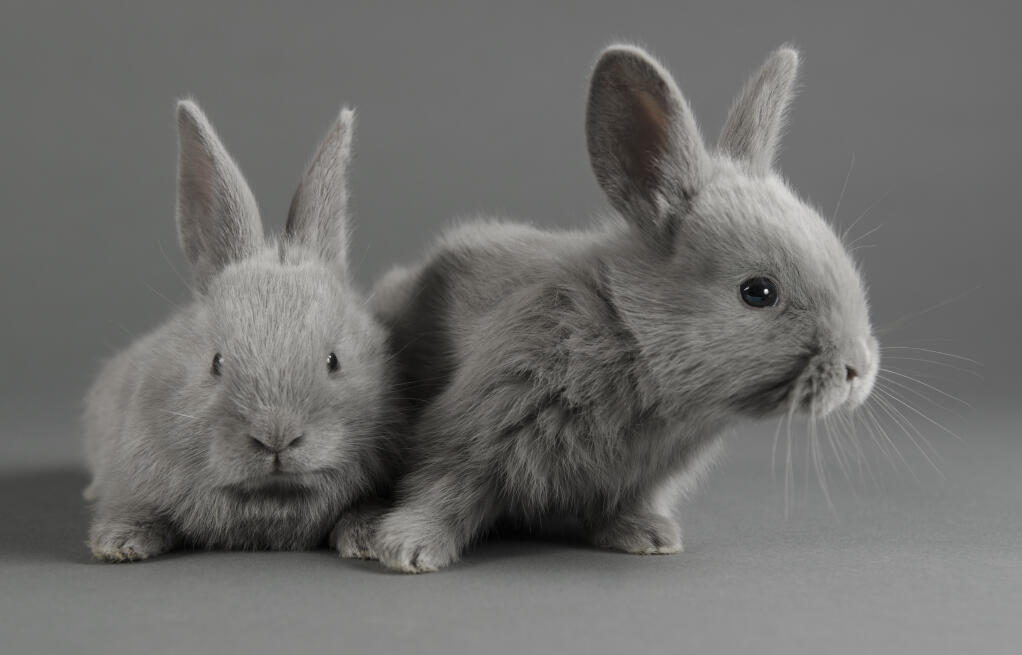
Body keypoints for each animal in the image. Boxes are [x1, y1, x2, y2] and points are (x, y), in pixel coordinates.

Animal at [83, 99, 399, 561]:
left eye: (333, 361)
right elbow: (137, 505)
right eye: (216, 363)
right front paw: (119, 543)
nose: (276, 437)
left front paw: (367, 538)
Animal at [366, 44, 880, 572]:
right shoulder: (474, 427)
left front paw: (651, 538)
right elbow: (444, 488)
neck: (628, 336)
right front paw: (408, 549)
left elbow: (625, 506)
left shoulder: (639, 479)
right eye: (758, 292)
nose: (857, 369)